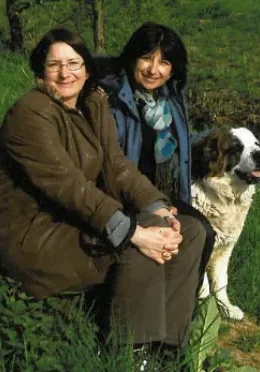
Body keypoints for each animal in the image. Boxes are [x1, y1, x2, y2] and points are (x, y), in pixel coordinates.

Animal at [191, 128, 260, 320]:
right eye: (236, 149)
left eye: (256, 144)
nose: (259, 153)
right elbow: (205, 286)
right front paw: (203, 309)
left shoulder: (224, 249)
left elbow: (221, 282)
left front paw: (225, 308)